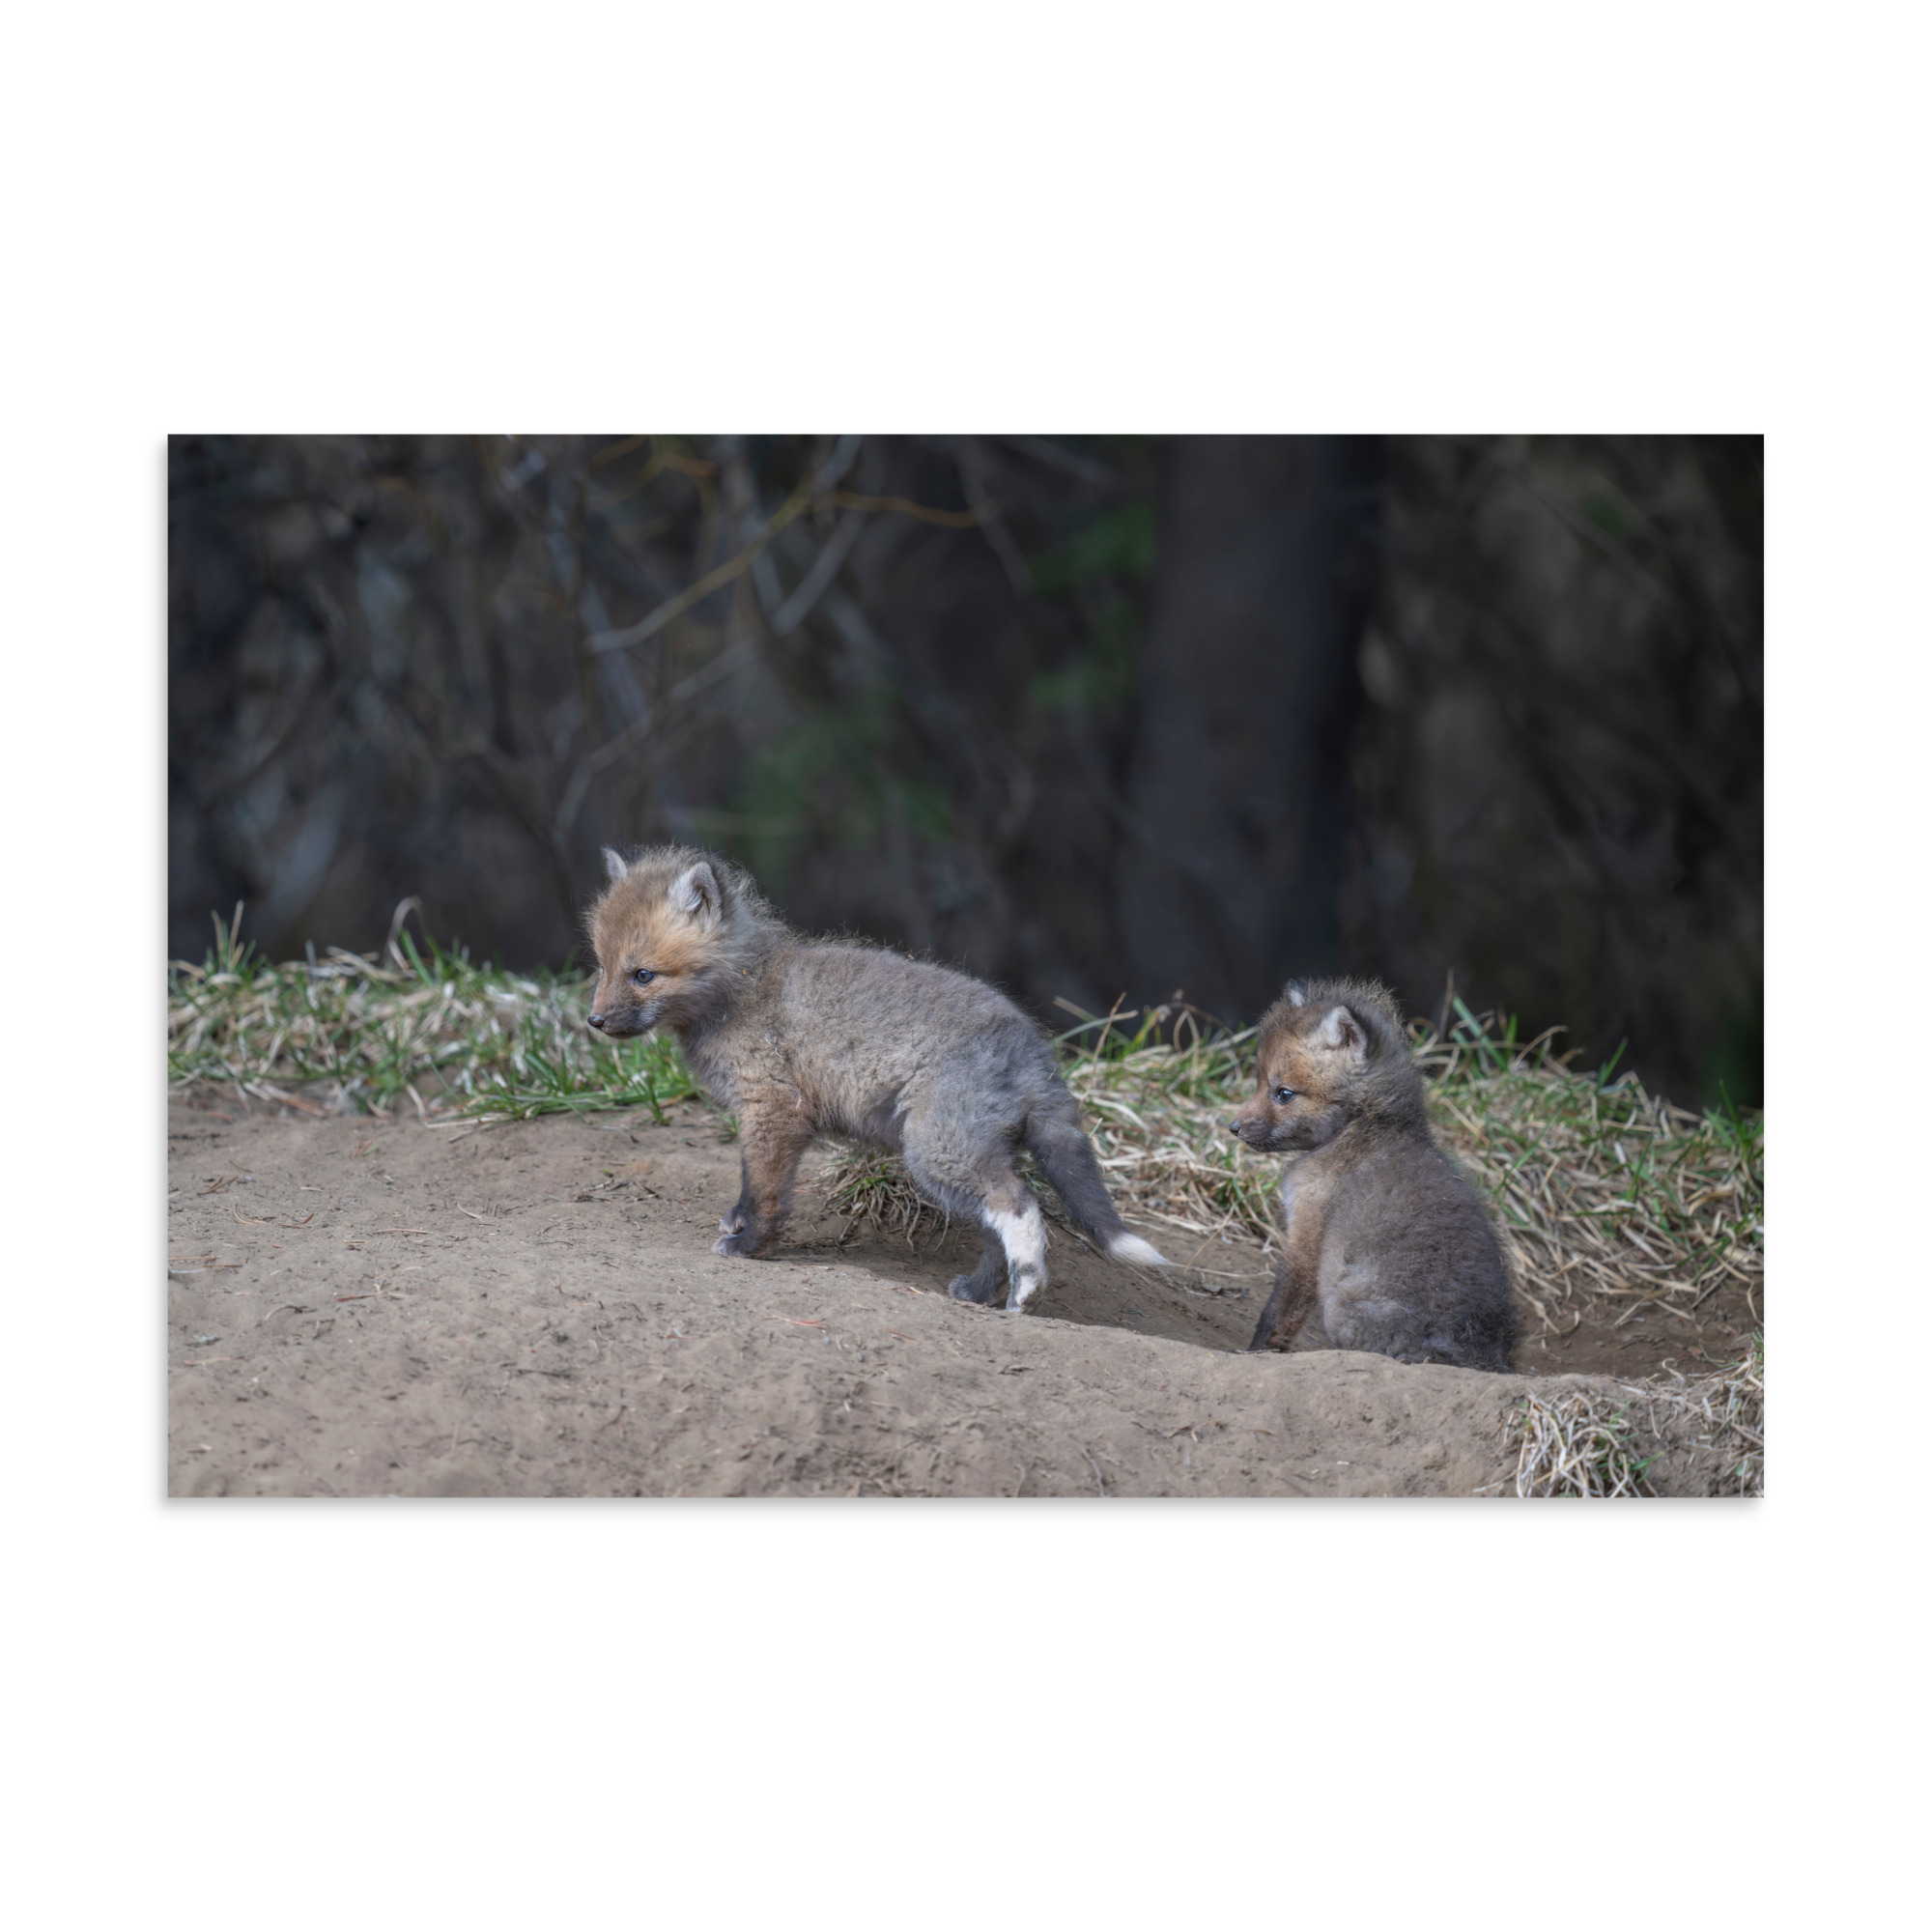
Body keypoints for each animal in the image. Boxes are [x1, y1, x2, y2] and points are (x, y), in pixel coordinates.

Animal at [585, 845, 1169, 1312]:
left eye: (643, 975)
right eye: (602, 966)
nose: (593, 1021)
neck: (743, 990)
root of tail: (1034, 1048)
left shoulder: (773, 1110)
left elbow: (765, 1190)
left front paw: (750, 1246)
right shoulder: (768, 1117)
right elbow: (751, 1183)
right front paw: (739, 1224)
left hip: (937, 1152)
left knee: (1019, 1204)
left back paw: (1027, 1291)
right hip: (961, 1159)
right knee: (994, 1228)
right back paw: (980, 1293)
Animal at [1229, 978, 1518, 1372]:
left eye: (1284, 1093)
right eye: (1259, 1081)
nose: (1233, 1127)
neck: (1365, 1126)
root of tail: (1479, 1357)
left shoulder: (1307, 1232)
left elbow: (1280, 1310)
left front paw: (1255, 1353)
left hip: (1340, 1308)